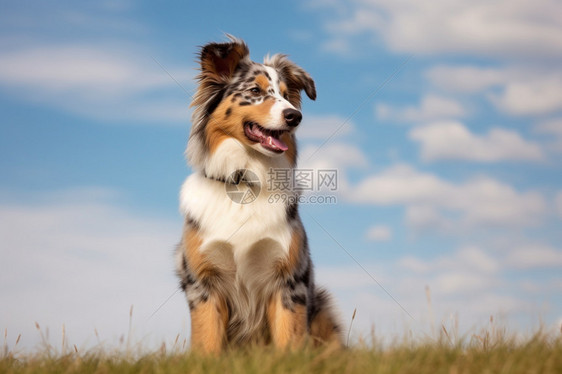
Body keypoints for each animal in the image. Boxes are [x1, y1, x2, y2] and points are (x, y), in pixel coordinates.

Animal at [175, 35, 342, 354]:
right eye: (255, 91)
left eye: (287, 96)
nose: (295, 116)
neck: (245, 181)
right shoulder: (203, 282)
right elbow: (208, 341)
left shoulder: (290, 281)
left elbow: (289, 340)